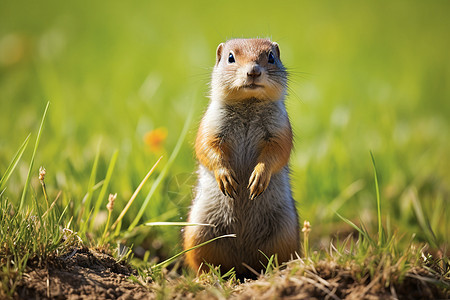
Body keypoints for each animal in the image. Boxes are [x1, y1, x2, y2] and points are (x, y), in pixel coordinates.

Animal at [183, 38, 298, 278]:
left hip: (285, 233)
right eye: (230, 58)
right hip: (198, 232)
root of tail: (242, 266)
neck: (249, 103)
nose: (253, 71)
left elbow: (277, 153)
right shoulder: (211, 126)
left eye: (271, 57)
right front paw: (227, 178)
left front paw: (257, 179)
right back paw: (209, 276)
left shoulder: (280, 130)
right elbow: (207, 148)